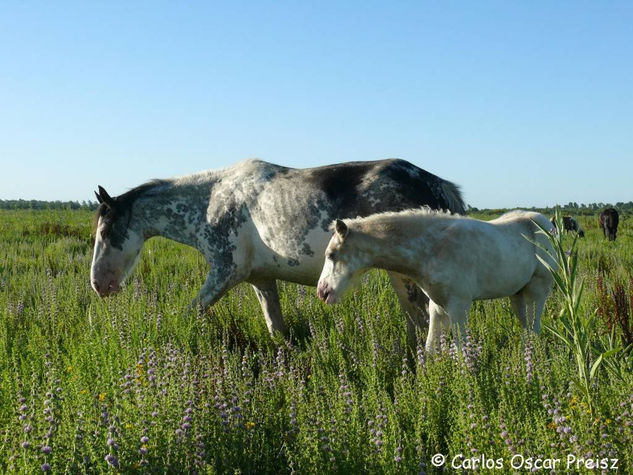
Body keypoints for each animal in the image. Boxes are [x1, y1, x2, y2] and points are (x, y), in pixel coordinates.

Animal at [90, 160, 464, 346]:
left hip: (405, 278)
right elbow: (277, 330)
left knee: (424, 322)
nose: (98, 285)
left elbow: (189, 312)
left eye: (105, 233)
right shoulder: (261, 279)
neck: (211, 202)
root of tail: (438, 184)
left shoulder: (225, 273)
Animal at [318, 210, 556, 352]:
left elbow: (461, 351)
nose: (322, 292)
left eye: (331, 255)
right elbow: (431, 348)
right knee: (527, 328)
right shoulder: (438, 307)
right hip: (518, 294)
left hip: (537, 291)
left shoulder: (459, 305)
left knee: (534, 327)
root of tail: (548, 225)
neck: (433, 249)